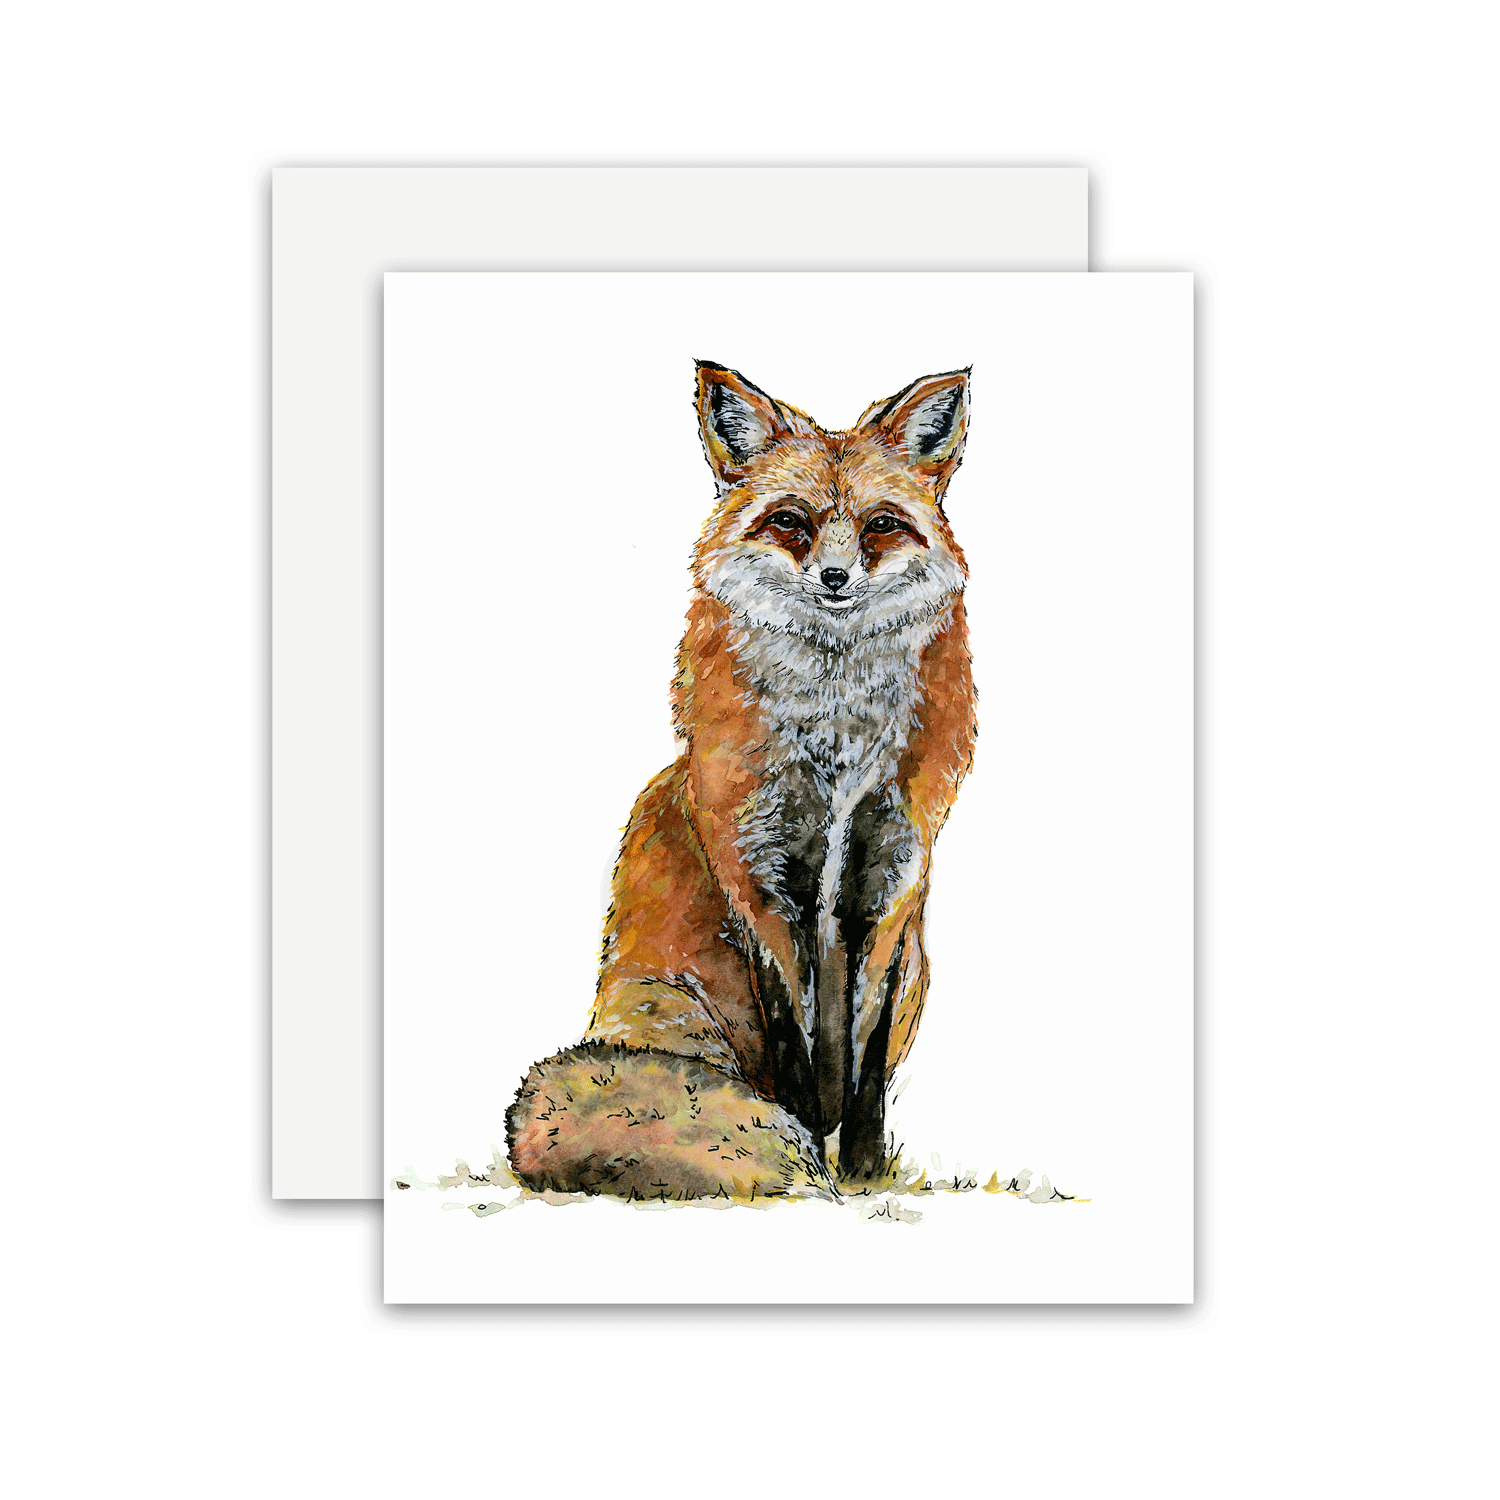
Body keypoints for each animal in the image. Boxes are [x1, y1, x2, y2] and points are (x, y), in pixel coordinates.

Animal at [506, 360, 977, 1202]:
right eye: (790, 522)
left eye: (880, 526)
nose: (834, 577)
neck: (836, 748)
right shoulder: (755, 869)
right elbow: (793, 1057)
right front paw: (815, 1160)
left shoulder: (895, 874)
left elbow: (863, 1065)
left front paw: (862, 1172)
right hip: (674, 1011)